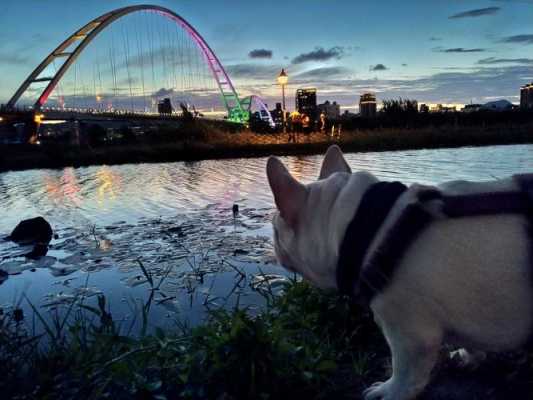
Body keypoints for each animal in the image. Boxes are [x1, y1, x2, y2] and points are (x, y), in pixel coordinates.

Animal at [266, 145, 532, 400]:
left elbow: (404, 373)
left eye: (276, 229)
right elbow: (470, 336)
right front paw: (469, 355)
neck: (369, 227)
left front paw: (389, 391)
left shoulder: (409, 335)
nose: (275, 245)